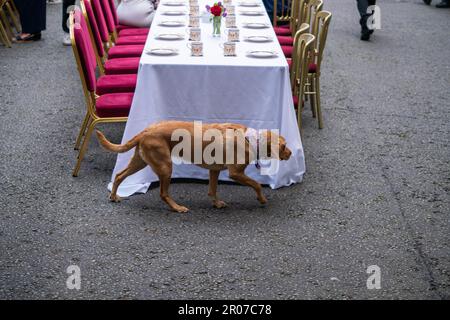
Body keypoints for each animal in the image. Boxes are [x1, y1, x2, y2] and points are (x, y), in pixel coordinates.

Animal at [96, 120, 292, 212]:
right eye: (284, 146)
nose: (290, 154)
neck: (250, 139)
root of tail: (145, 131)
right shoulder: (235, 173)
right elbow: (257, 184)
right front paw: (262, 199)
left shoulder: (214, 170)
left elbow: (212, 190)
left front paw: (216, 203)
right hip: (165, 166)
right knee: (163, 193)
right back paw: (177, 208)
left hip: (141, 161)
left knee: (119, 175)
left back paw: (114, 196)